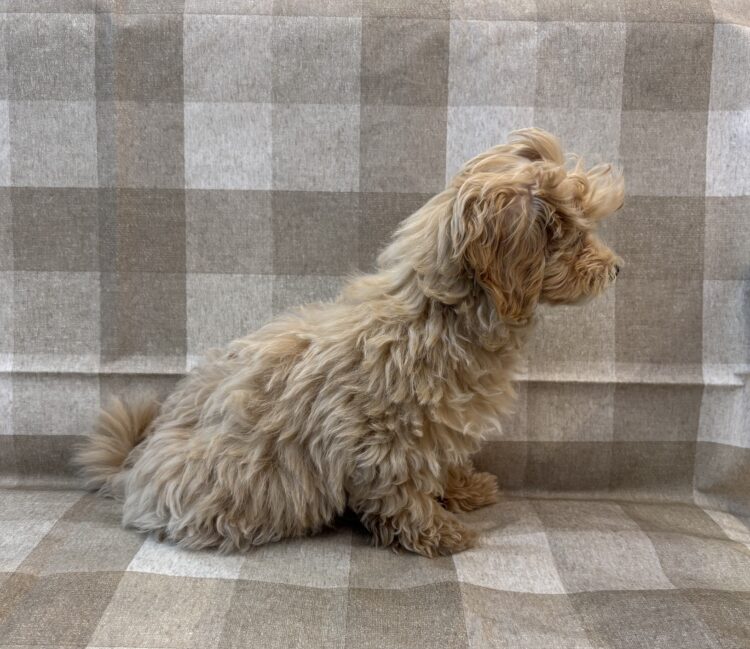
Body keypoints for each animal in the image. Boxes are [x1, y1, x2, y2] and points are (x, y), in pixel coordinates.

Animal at [75, 128, 624, 557]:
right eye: (573, 235)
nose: (617, 268)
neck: (435, 314)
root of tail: (134, 470)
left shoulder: (438, 432)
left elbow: (443, 465)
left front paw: (464, 489)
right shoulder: (388, 442)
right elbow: (403, 494)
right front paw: (439, 533)